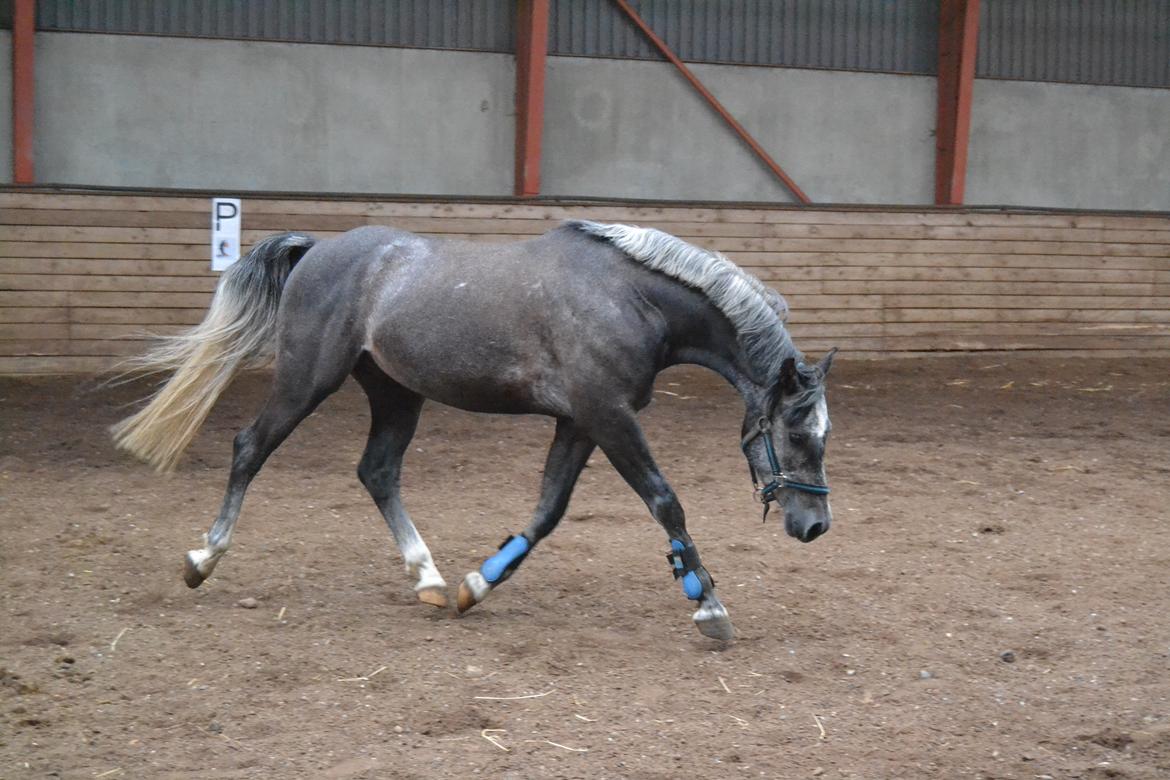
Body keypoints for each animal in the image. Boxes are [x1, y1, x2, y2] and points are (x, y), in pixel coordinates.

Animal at [111, 219, 833, 640]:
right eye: (798, 435)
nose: (815, 526)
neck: (629, 297)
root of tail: (318, 248)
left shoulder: (580, 420)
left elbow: (546, 512)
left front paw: (475, 586)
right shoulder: (607, 413)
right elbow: (664, 500)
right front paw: (707, 605)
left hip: (395, 393)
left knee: (377, 471)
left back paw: (428, 579)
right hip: (306, 379)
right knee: (250, 448)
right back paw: (203, 559)